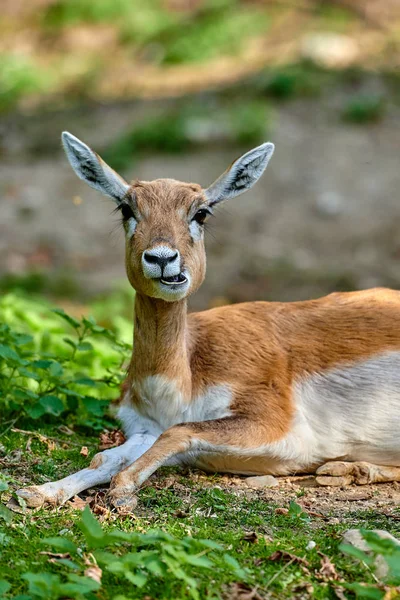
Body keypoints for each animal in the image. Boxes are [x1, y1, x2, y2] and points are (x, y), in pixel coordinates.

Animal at [18, 131, 400, 506]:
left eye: (201, 213)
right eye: (126, 207)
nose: (162, 258)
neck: (179, 383)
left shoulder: (274, 424)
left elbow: (178, 432)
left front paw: (122, 491)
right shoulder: (145, 429)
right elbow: (106, 457)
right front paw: (39, 492)